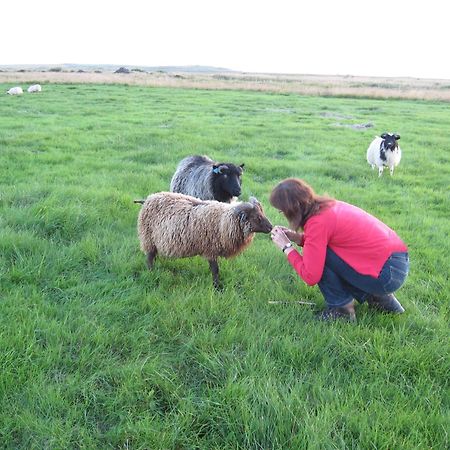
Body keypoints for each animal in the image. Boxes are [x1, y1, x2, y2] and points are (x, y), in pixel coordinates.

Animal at [135, 192, 272, 290]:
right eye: (258, 217)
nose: (271, 227)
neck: (224, 221)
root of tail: (148, 199)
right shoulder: (210, 249)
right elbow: (215, 270)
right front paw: (217, 287)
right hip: (148, 238)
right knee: (149, 258)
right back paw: (151, 272)